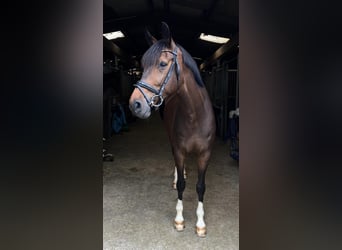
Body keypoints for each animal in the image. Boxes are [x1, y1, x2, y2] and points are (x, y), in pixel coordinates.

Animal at [130, 22, 215, 237]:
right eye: (142, 65)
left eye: (162, 64)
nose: (134, 105)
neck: (195, 116)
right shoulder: (179, 151)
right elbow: (183, 186)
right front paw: (179, 220)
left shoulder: (205, 154)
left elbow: (201, 186)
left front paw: (200, 224)